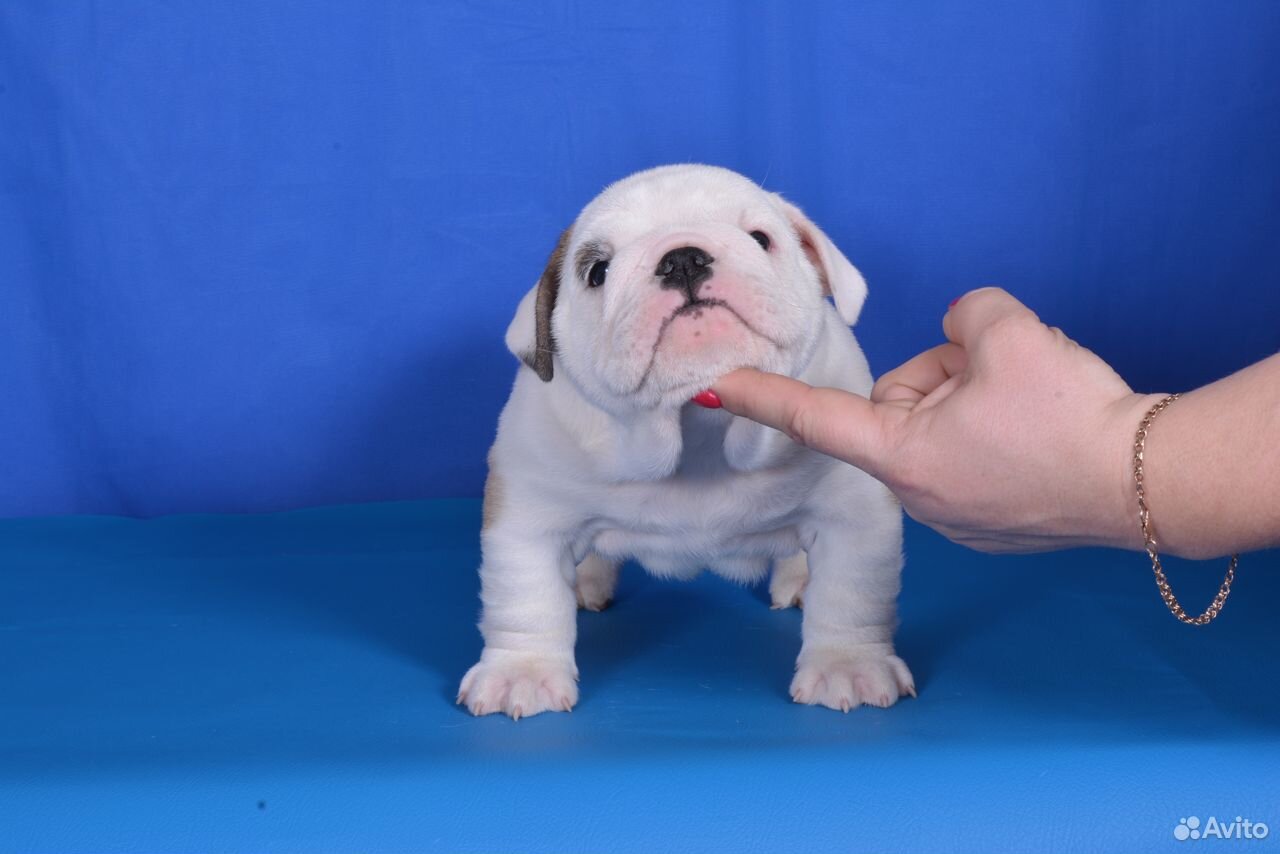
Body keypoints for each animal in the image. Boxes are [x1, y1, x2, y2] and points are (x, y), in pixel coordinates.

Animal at [460, 163, 911, 717]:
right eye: (597, 272)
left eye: (760, 239)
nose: (682, 259)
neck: (697, 429)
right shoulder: (528, 512)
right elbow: (526, 596)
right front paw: (520, 672)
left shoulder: (856, 511)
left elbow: (852, 592)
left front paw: (849, 666)